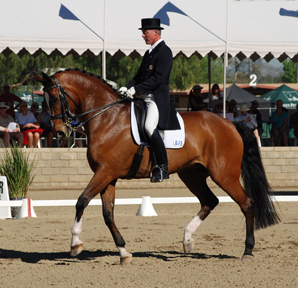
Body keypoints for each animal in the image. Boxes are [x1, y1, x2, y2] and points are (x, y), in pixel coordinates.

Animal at [32, 69, 280, 264]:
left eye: (53, 97)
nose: (60, 133)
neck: (106, 118)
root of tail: (231, 123)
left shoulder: (106, 172)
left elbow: (81, 201)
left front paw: (75, 243)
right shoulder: (108, 175)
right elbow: (108, 214)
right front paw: (123, 252)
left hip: (224, 175)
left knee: (247, 203)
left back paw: (247, 250)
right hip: (192, 175)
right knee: (210, 201)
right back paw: (187, 240)